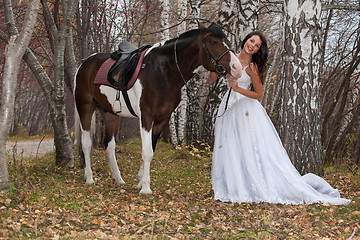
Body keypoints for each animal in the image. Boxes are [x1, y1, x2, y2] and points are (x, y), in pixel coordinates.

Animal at [74, 23, 240, 194]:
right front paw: (145, 188)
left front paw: (140, 181)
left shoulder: (163, 119)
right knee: (86, 143)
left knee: (109, 145)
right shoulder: (147, 117)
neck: (163, 72)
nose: (237, 67)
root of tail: (84, 63)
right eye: (214, 42)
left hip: (110, 113)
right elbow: (147, 152)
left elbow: (151, 148)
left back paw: (118, 179)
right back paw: (89, 178)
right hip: (85, 107)